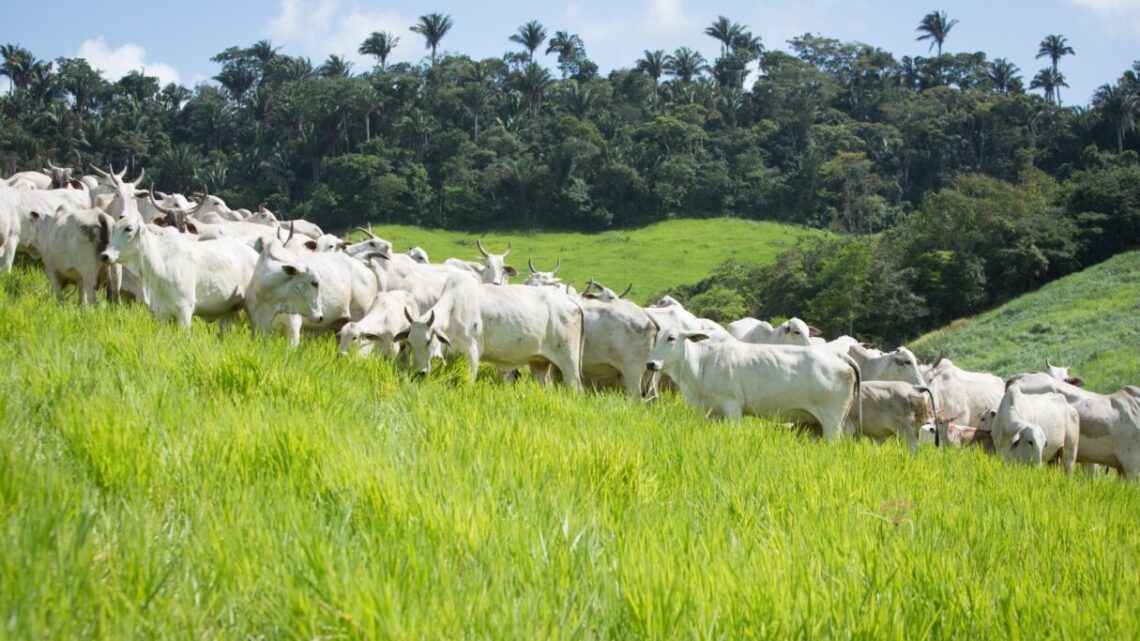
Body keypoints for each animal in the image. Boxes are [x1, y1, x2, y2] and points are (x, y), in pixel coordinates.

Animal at [99, 214, 258, 326]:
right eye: (113, 229)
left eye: (129, 229)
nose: (105, 255)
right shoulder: (161, 314)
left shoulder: (184, 310)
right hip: (228, 312)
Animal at [396, 278, 583, 387]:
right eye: (409, 343)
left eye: (429, 341)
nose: (419, 373)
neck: (453, 311)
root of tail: (573, 302)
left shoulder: (472, 354)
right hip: (539, 363)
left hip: (569, 362)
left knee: (575, 386)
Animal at [647, 328, 857, 437]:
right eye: (656, 338)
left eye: (671, 338)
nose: (651, 364)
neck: (703, 362)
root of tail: (839, 355)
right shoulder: (710, 412)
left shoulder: (732, 406)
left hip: (832, 422)